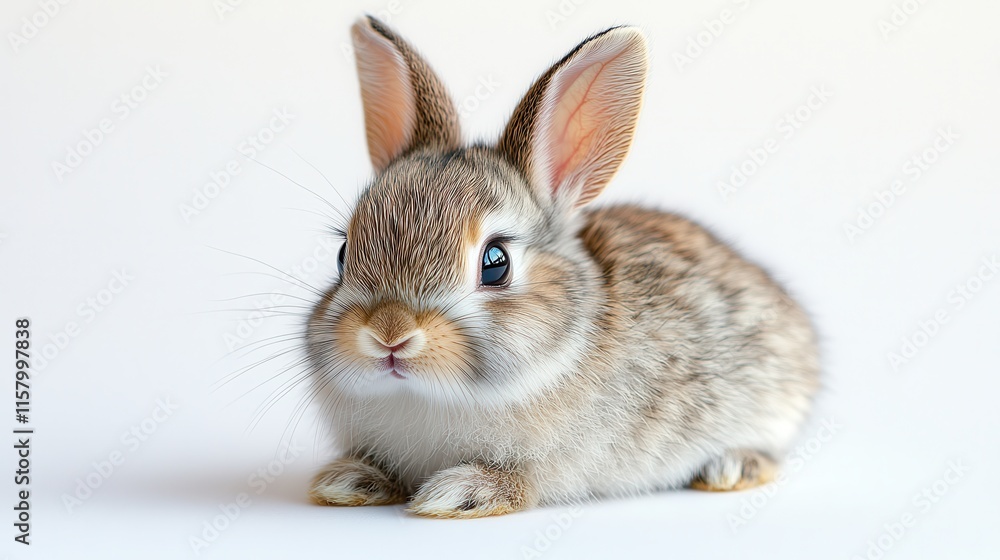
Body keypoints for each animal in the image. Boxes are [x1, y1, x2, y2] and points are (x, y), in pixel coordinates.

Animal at [303, 16, 820, 518]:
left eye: (496, 263)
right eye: (344, 253)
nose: (389, 333)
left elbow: (523, 482)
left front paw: (461, 493)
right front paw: (348, 481)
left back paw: (731, 468)